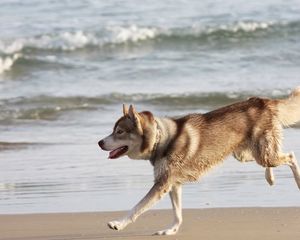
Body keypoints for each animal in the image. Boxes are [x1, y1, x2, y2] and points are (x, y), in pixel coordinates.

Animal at [98, 87, 300, 235]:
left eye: (119, 132)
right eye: (113, 130)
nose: (99, 142)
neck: (161, 139)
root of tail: (262, 101)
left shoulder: (162, 184)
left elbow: (137, 208)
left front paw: (118, 223)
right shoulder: (173, 184)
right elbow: (177, 213)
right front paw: (171, 230)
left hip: (263, 153)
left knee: (290, 156)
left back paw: (297, 180)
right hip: (245, 154)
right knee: (273, 160)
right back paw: (270, 178)